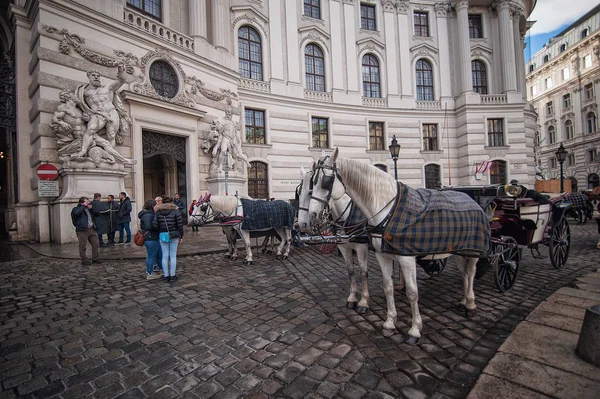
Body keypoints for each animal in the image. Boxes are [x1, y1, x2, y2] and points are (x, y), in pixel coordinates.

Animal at [296, 167, 370, 314]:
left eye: (311, 192)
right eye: (298, 193)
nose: (301, 224)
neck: (347, 215)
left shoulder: (362, 248)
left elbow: (363, 272)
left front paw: (364, 301)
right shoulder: (344, 247)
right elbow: (350, 270)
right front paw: (352, 297)